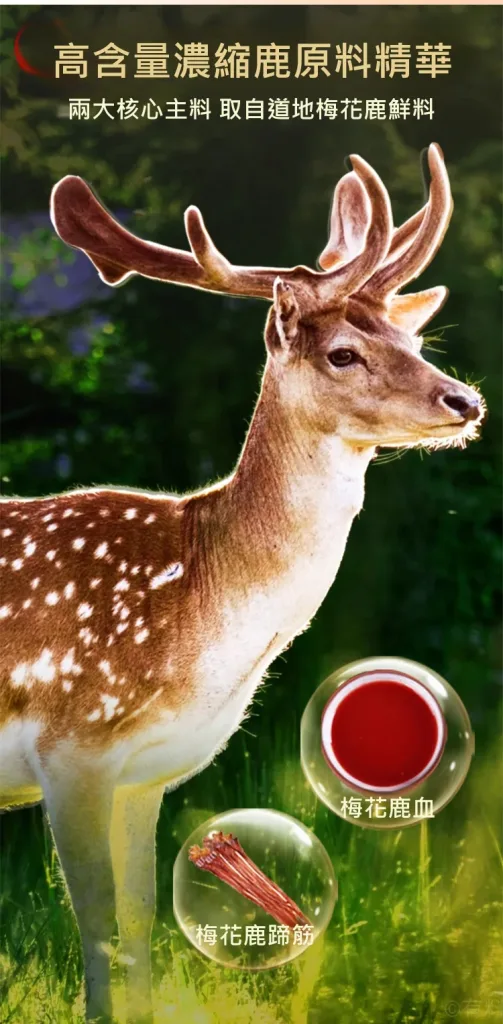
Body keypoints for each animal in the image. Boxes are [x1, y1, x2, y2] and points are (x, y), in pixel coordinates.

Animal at [0, 144, 484, 1024]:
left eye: (412, 335)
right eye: (341, 352)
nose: (463, 400)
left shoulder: (145, 774)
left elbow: (141, 921)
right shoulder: (71, 743)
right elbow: (93, 925)